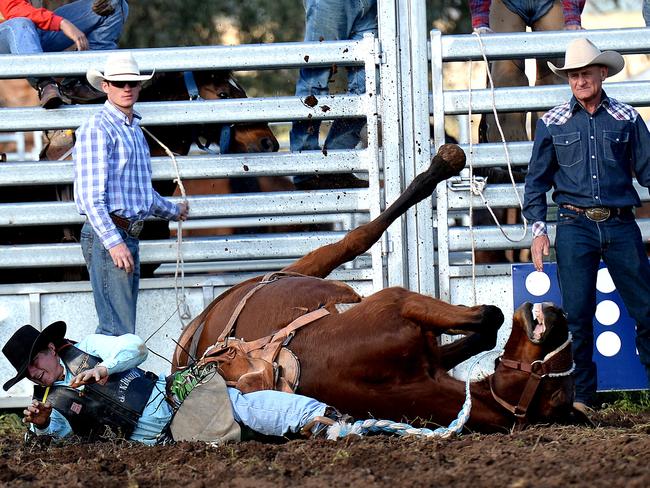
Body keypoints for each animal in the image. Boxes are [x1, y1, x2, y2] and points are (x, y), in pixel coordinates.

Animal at [171, 144, 584, 430]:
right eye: (555, 384)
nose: (558, 315)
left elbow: (482, 328)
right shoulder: (399, 302)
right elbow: (488, 318)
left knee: (357, 239)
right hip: (302, 271)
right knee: (358, 237)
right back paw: (441, 164)